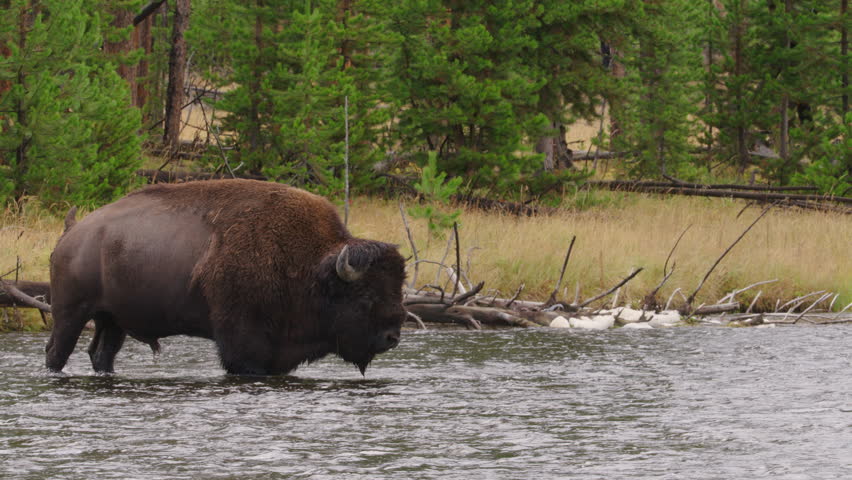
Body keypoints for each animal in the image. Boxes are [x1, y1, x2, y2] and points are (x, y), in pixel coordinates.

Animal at [45, 179, 407, 375]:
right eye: (366, 295)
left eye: (398, 289)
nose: (392, 337)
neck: (311, 267)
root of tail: (71, 234)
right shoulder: (243, 344)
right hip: (71, 313)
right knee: (56, 352)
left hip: (112, 320)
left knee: (101, 354)